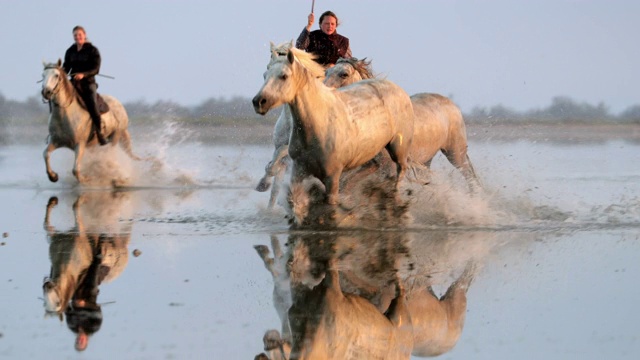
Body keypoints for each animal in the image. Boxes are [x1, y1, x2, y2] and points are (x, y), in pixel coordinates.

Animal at [252, 49, 412, 210]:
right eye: (265, 73)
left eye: (344, 74)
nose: (259, 101)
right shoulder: (287, 152)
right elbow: (276, 166)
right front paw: (264, 184)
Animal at [328, 57, 478, 188]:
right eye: (327, 71)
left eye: (344, 74)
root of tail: (452, 105)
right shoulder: (371, 166)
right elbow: (345, 184)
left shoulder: (387, 169)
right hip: (427, 159)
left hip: (455, 154)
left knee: (470, 177)